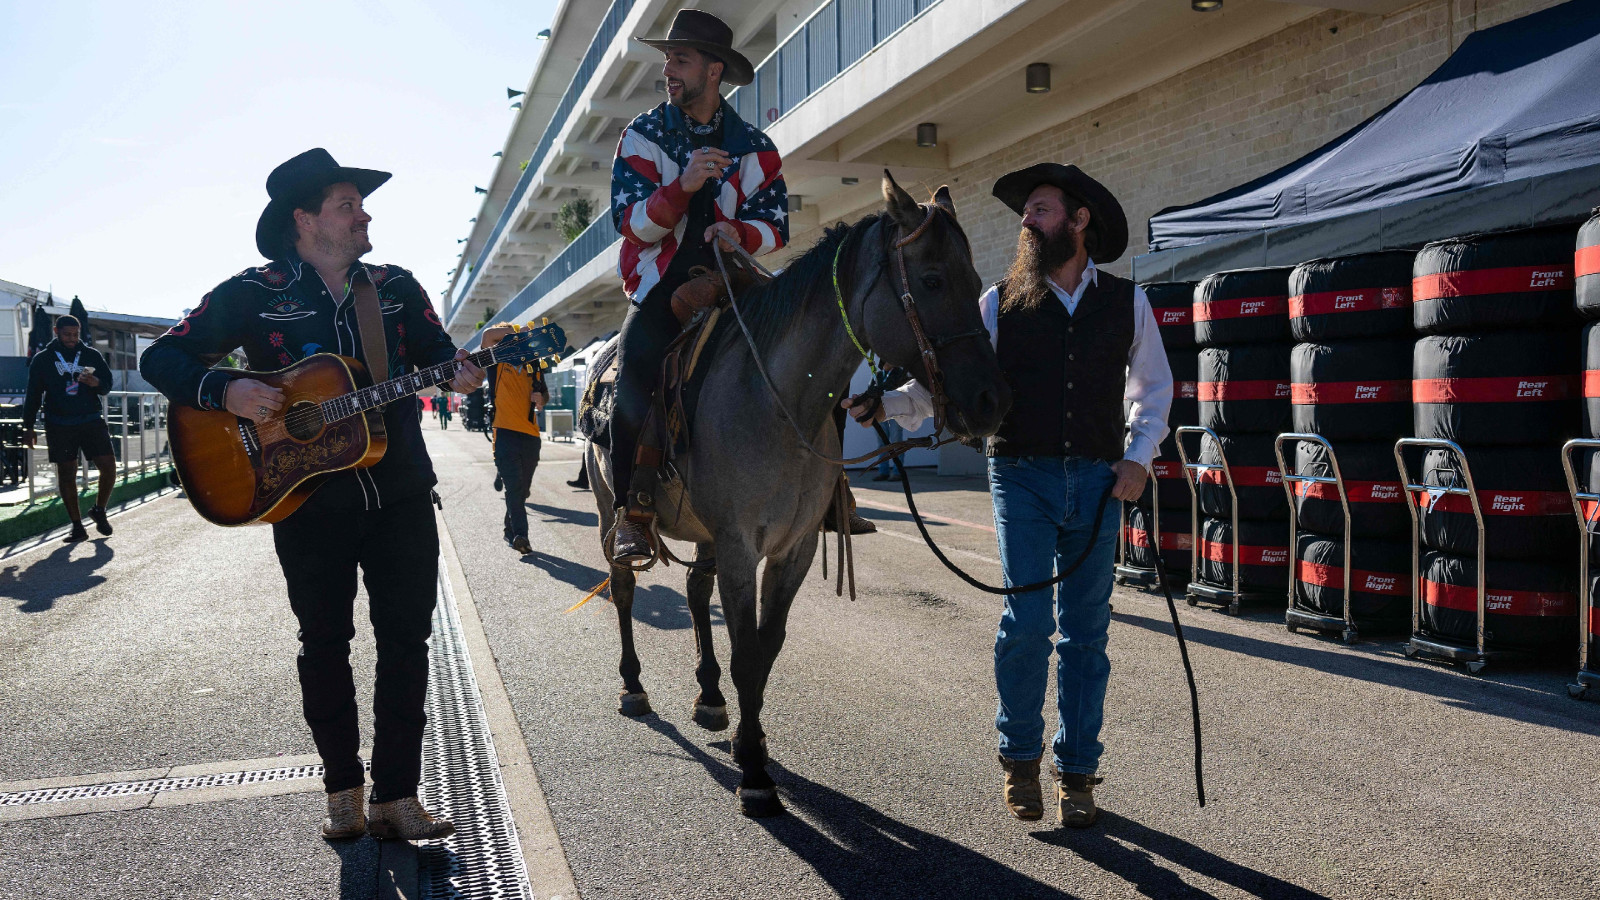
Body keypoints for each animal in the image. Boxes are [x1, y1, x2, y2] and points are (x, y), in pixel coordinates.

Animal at [579, 171, 1011, 816]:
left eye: (976, 281)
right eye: (932, 279)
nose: (991, 401)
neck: (779, 402)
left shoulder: (793, 548)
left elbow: (766, 647)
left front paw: (747, 741)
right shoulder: (741, 547)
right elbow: (747, 652)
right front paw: (756, 771)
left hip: (706, 533)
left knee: (694, 590)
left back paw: (709, 696)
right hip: (613, 507)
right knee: (625, 588)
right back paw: (633, 685)